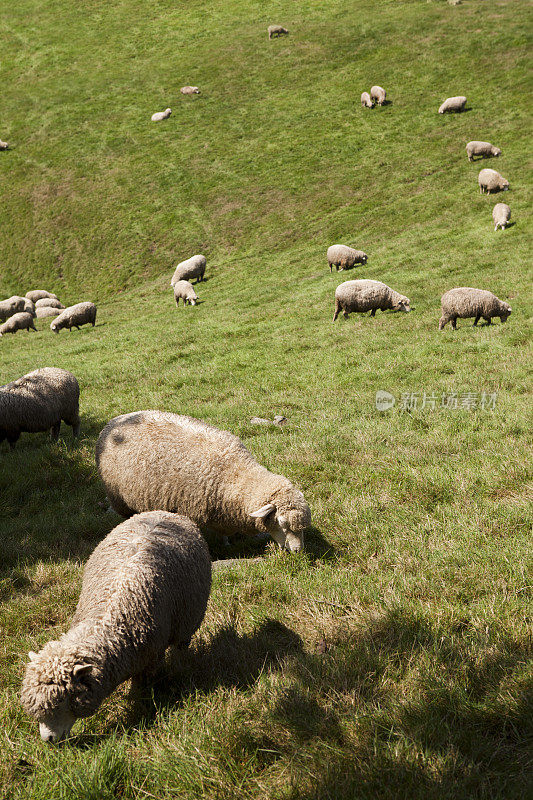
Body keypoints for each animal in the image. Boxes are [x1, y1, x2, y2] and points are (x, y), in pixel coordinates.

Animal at [20, 512, 212, 744]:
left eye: (62, 702)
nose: (48, 740)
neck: (109, 618)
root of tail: (162, 512)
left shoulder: (150, 656)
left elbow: (143, 685)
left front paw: (141, 703)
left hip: (189, 621)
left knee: (181, 647)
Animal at [97, 410, 310, 552]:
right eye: (282, 523)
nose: (298, 551)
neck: (235, 475)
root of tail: (114, 420)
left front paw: (229, 541)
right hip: (119, 499)